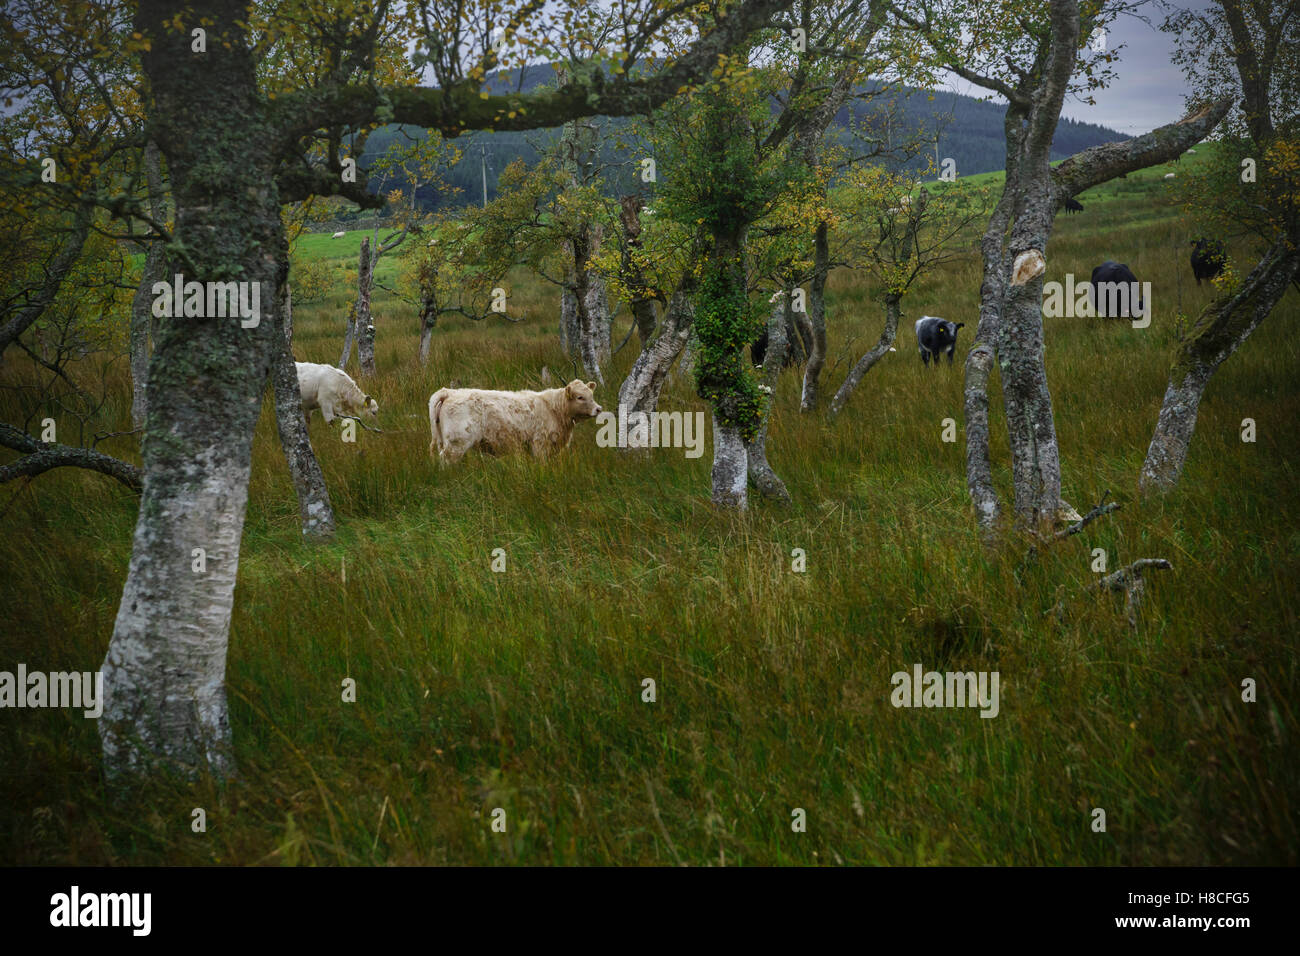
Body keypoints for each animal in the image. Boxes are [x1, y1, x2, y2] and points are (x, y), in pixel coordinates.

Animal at [431, 377, 603, 463]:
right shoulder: (540, 444)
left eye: (591, 395)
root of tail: (449, 392)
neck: (553, 409)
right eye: (580, 397)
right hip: (457, 442)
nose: (598, 409)